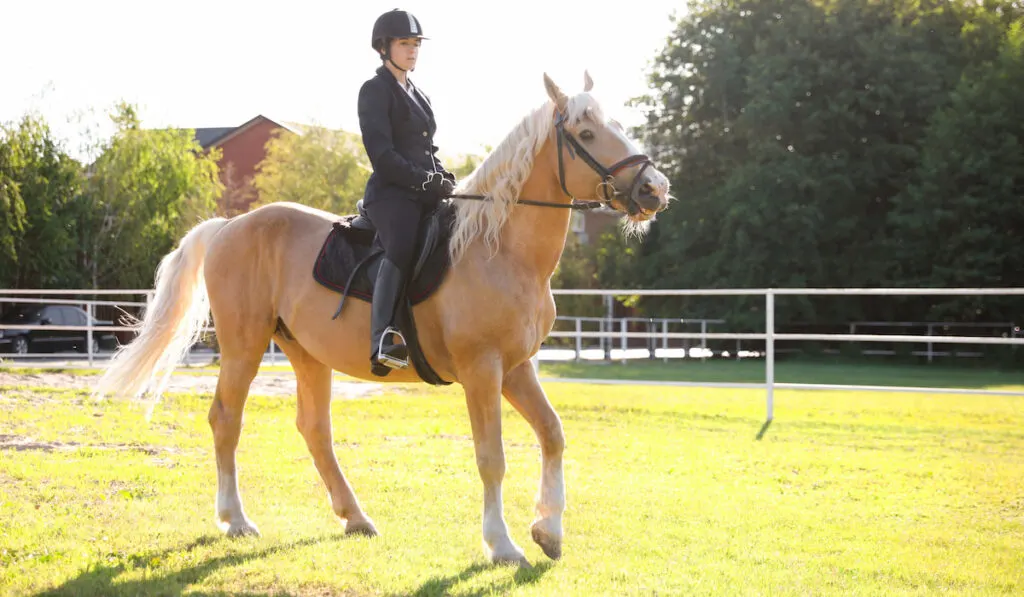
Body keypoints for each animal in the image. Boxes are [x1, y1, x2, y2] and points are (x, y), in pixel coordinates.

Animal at [96, 72, 671, 569]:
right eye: (587, 133)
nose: (655, 190)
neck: (500, 249)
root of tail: (229, 226)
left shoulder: (516, 367)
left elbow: (552, 434)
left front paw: (548, 531)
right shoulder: (482, 370)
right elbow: (492, 456)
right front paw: (502, 546)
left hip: (306, 351)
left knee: (314, 429)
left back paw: (355, 517)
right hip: (244, 345)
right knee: (226, 420)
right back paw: (235, 519)